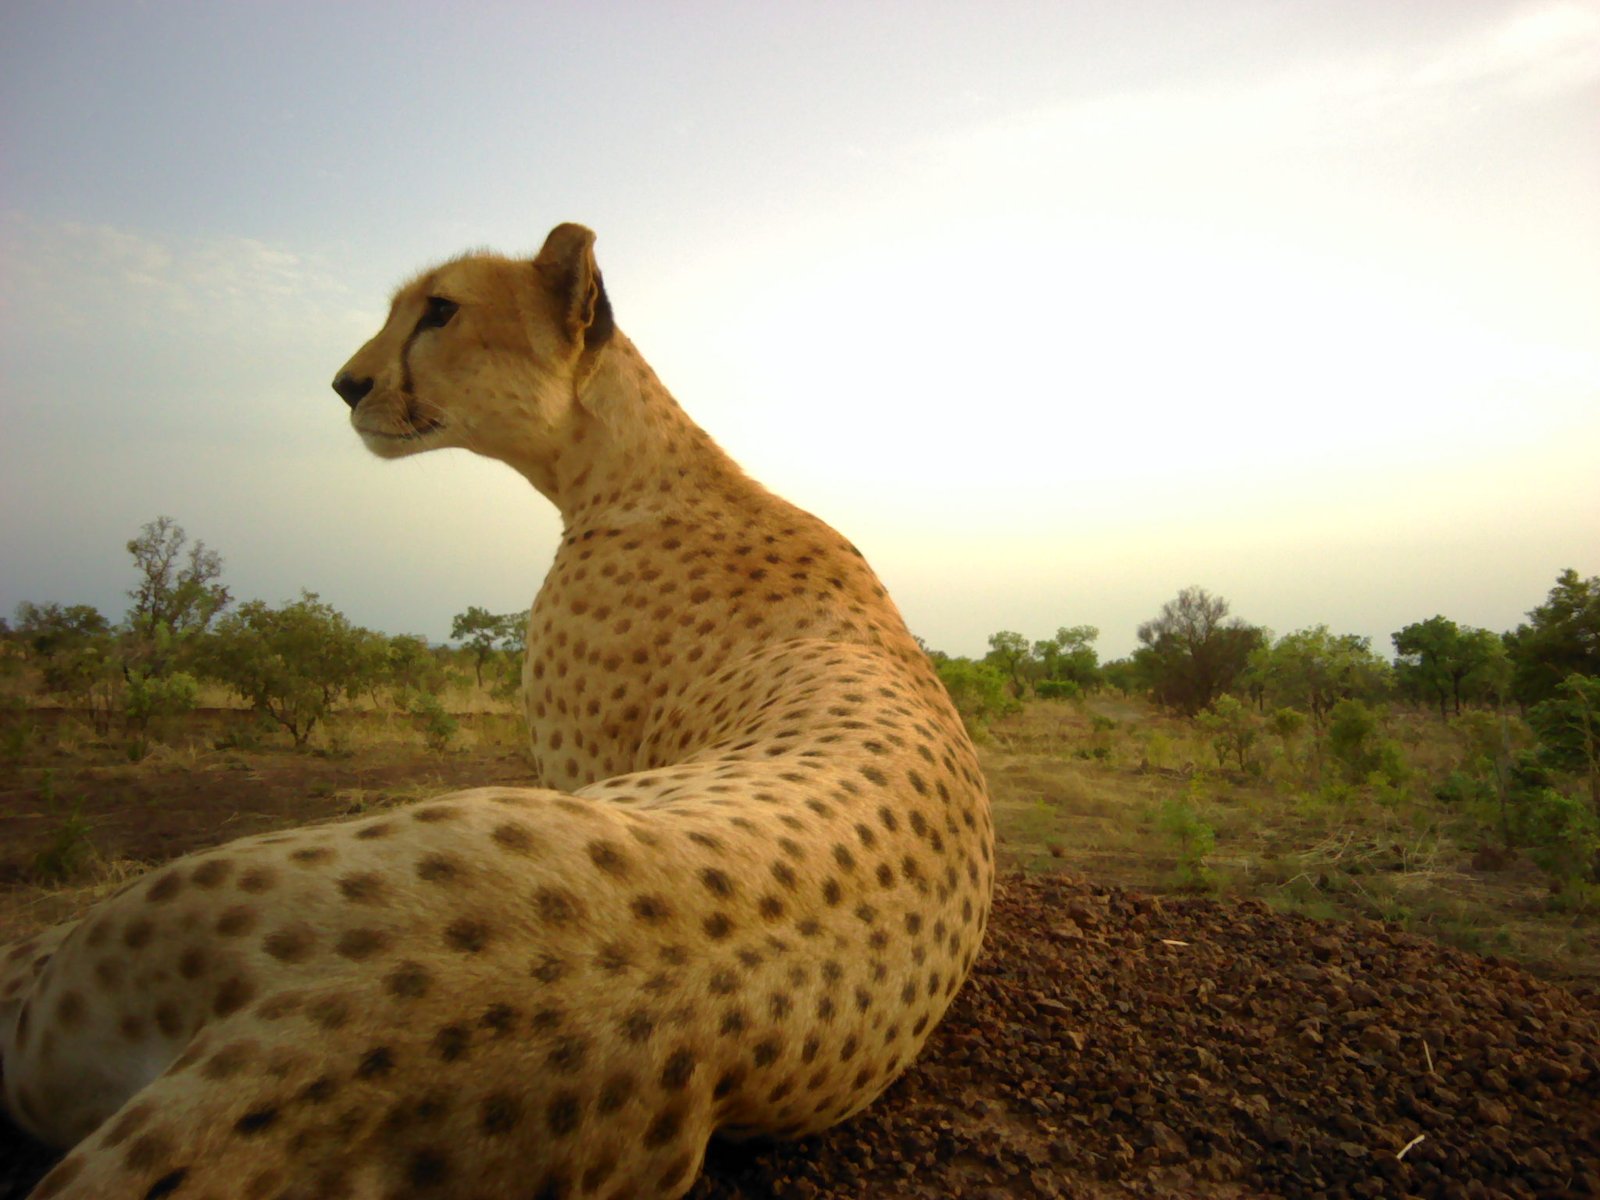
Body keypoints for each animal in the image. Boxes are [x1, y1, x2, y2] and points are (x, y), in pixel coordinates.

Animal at [1, 221, 994, 1200]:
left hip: (77, 985)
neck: (623, 467)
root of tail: (353, 1027)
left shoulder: (576, 758)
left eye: (440, 311)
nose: (346, 383)